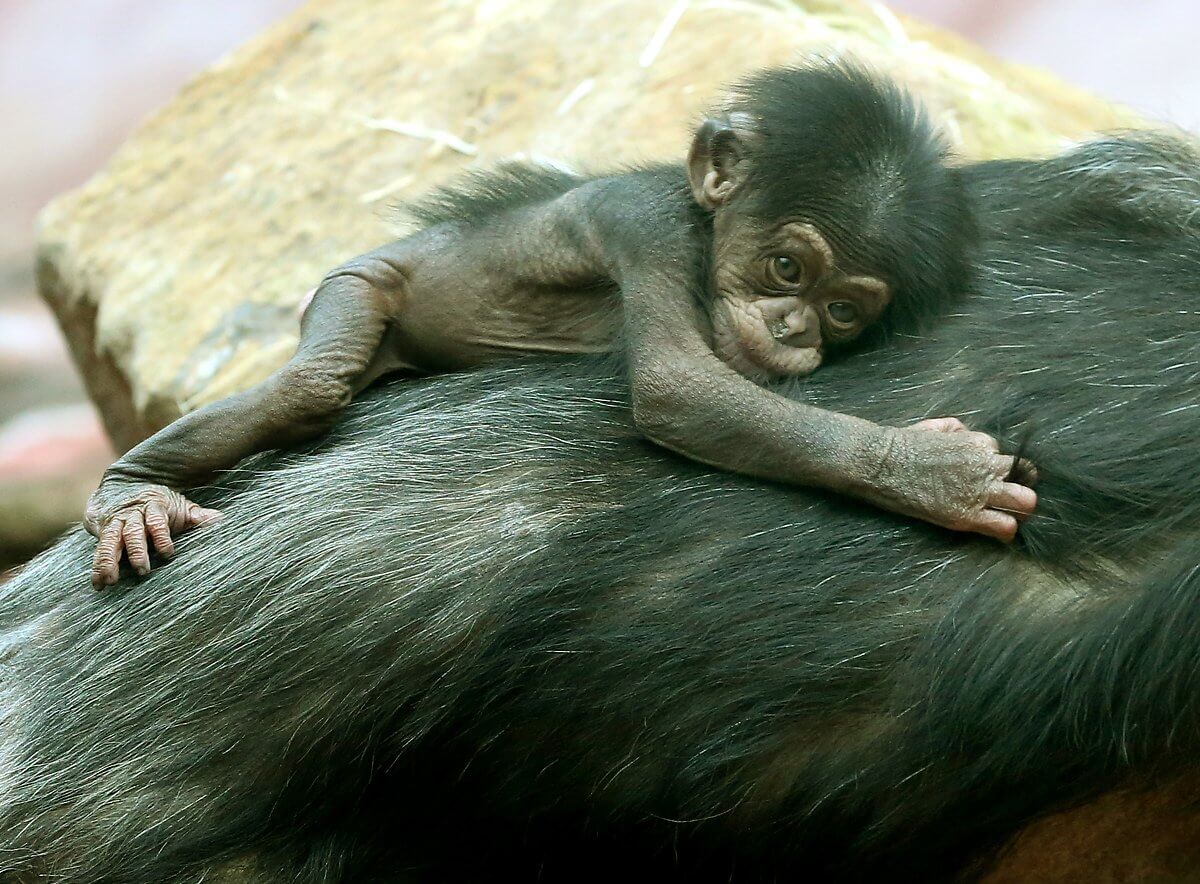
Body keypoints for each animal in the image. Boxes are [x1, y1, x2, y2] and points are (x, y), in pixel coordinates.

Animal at [81, 63, 1040, 588]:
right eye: (788, 269)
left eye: (844, 310)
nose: (796, 325)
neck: (707, 232)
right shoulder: (646, 232)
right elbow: (678, 388)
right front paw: (929, 472)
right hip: (353, 288)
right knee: (312, 385)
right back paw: (131, 492)